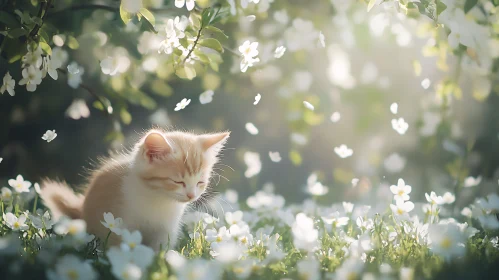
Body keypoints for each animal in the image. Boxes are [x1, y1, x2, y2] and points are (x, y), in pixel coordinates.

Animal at [41, 129, 230, 249]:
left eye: (200, 182)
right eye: (178, 181)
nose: (191, 195)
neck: (158, 198)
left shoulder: (165, 229)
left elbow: (159, 250)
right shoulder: (119, 223)